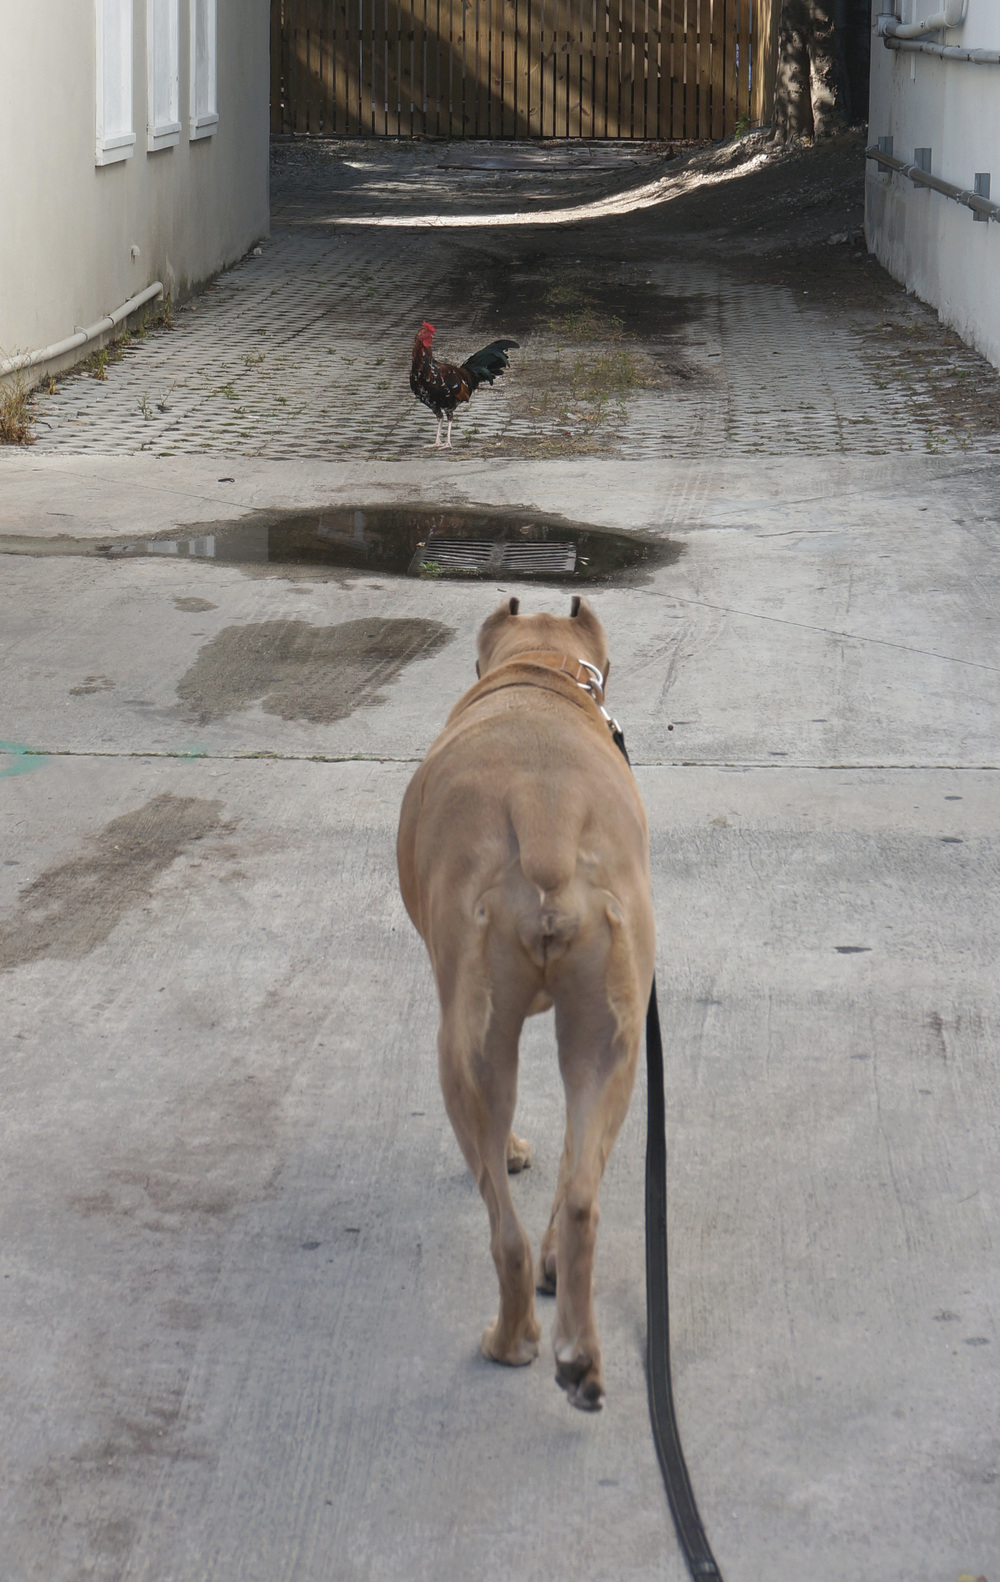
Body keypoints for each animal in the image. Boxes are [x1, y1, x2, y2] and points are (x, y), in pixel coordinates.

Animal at [398, 594, 655, 1411]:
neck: (541, 673)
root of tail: (546, 825)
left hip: (470, 1047)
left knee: (501, 1231)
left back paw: (512, 1341)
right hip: (610, 1038)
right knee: (580, 1196)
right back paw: (576, 1349)